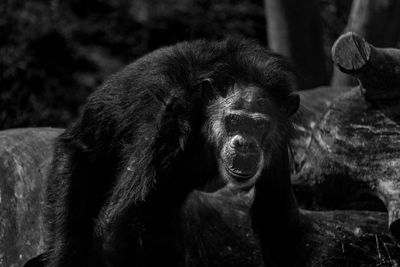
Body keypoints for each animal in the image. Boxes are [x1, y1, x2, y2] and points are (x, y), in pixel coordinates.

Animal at [25, 38, 300, 267]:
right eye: (233, 120)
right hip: (72, 157)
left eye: (259, 124)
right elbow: (121, 223)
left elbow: (273, 217)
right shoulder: (170, 112)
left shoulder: (278, 139)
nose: (244, 143)